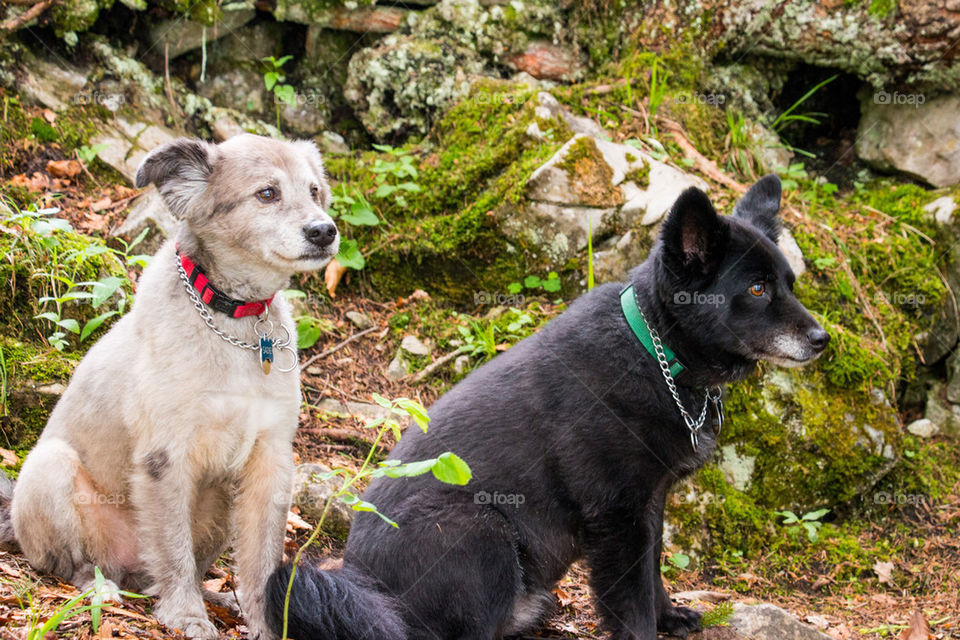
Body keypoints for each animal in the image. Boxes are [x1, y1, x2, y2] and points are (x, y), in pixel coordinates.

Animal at [268, 175, 824, 640]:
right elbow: (631, 603)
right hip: (480, 531)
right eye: (757, 288)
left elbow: (654, 573)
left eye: (789, 284)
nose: (823, 339)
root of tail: (367, 586)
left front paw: (669, 615)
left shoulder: (650, 505)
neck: (655, 349)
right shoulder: (617, 518)